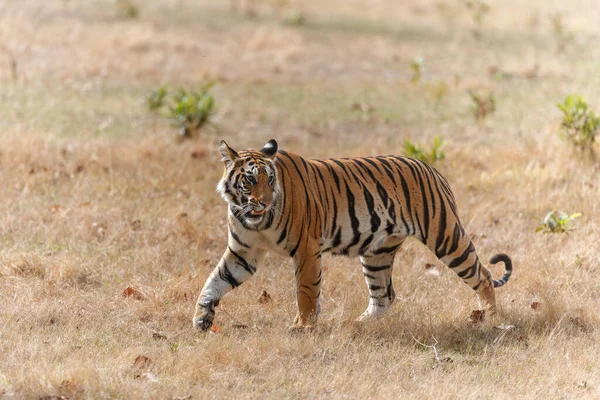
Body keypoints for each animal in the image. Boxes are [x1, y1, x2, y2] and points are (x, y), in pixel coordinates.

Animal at [192, 139, 510, 330]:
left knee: (482, 274)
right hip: (377, 254)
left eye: (270, 180)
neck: (255, 220)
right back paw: (358, 324)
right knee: (384, 296)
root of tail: (433, 170)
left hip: (445, 236)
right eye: (249, 180)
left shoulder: (306, 249)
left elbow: (306, 292)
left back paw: (492, 319)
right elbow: (214, 281)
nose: (267, 202)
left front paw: (302, 327)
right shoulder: (243, 253)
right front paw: (201, 318)